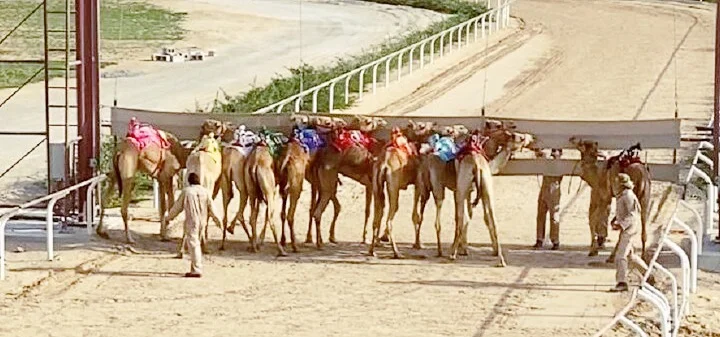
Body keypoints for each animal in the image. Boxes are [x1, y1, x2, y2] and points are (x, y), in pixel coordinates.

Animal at [310, 114, 388, 248]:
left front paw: (365, 238)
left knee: (322, 208)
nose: (382, 121)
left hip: (324, 185)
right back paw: (320, 243)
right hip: (328, 185)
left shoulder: (369, 185)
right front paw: (375, 240)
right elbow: (378, 210)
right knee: (318, 212)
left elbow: (368, 211)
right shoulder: (374, 186)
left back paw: (325, 239)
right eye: (368, 121)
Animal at [368, 121, 436, 258]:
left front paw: (381, 239)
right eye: (422, 126)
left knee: (377, 218)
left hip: (377, 187)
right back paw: (396, 252)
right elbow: (416, 215)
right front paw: (418, 244)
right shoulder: (418, 182)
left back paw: (372, 250)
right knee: (390, 219)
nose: (434, 125)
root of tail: (383, 164)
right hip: (393, 186)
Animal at [450, 128, 536, 266]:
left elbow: (464, 217)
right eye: (521, 137)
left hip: (463, 189)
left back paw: (453, 253)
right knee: (492, 219)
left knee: (464, 217)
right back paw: (501, 260)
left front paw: (464, 249)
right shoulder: (469, 191)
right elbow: (481, 217)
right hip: (485, 188)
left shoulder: (463, 191)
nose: (532, 137)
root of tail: (477, 165)